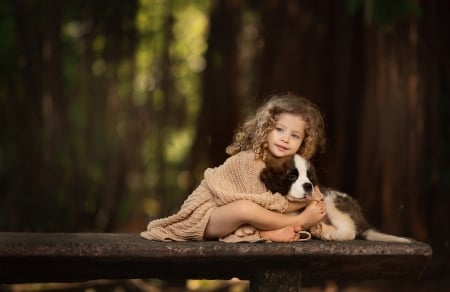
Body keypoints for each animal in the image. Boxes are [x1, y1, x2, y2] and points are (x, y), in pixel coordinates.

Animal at [258, 154, 414, 243]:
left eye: (309, 177)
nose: (309, 186)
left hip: (332, 201)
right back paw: (320, 230)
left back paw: (331, 234)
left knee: (351, 231)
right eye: (292, 176)